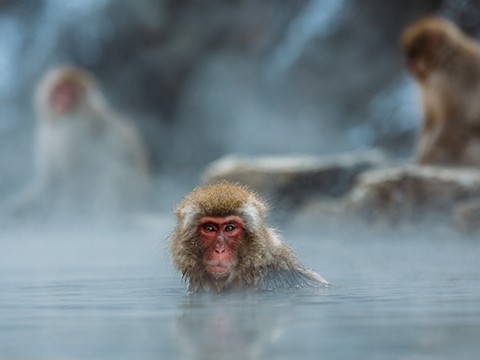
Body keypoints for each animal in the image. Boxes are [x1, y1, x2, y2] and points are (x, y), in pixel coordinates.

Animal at [400, 15, 480, 165]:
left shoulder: (453, 81)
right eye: (409, 54)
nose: (407, 64)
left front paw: (425, 158)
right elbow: (430, 120)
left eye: (413, 54)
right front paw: (420, 157)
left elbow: (453, 121)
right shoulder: (426, 88)